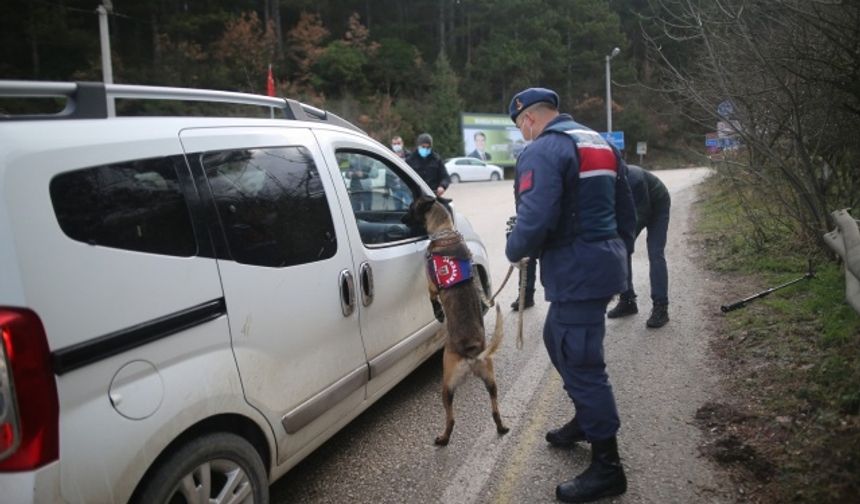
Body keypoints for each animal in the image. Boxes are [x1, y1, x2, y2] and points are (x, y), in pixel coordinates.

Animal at [404, 195, 508, 446]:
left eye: (412, 208)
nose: (401, 218)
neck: (445, 232)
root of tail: (472, 354)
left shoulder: (431, 285)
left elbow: (432, 297)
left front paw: (438, 313)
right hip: (491, 381)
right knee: (495, 410)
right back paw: (501, 427)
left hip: (447, 385)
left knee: (451, 418)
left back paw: (443, 438)